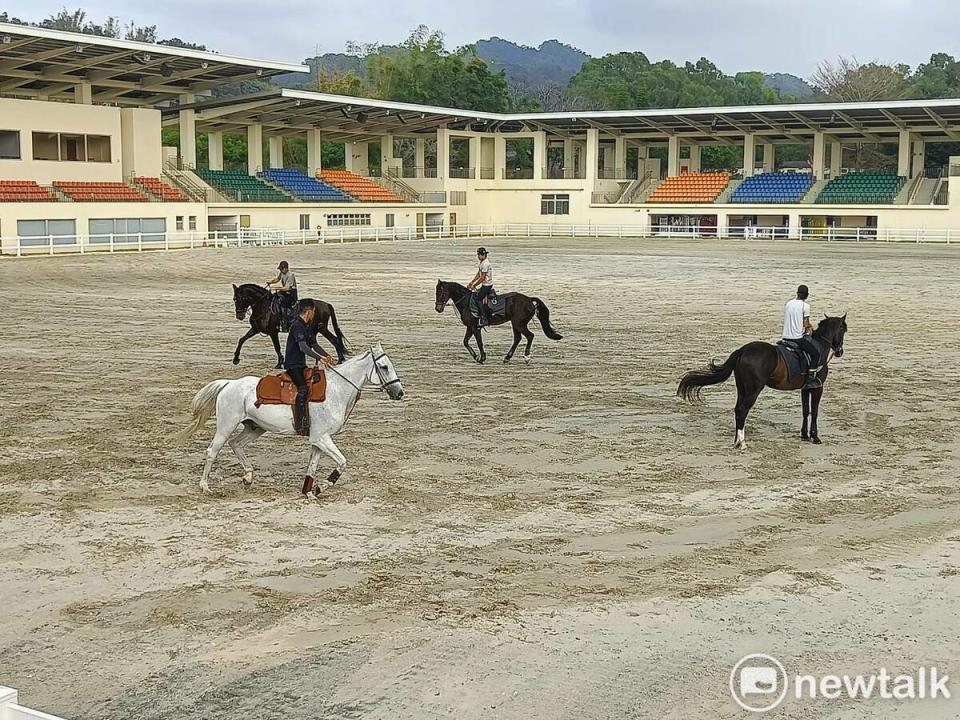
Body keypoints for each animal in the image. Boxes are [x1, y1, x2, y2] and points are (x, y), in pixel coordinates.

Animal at [175, 344, 402, 496]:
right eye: (383, 367)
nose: (399, 393)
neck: (336, 390)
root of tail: (229, 384)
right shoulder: (322, 438)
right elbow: (342, 462)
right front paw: (321, 487)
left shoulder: (318, 440)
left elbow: (312, 467)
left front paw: (310, 491)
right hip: (225, 426)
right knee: (212, 451)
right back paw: (205, 487)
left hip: (254, 428)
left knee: (236, 444)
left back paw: (248, 476)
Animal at [436, 278, 564, 362]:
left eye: (441, 293)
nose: (438, 309)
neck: (466, 302)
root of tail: (529, 299)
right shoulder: (470, 327)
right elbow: (465, 342)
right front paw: (476, 356)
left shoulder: (475, 327)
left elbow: (479, 342)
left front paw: (482, 358)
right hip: (515, 324)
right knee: (518, 338)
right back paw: (507, 357)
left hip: (519, 324)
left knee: (530, 336)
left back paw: (526, 357)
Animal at [676, 314, 848, 448]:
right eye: (843, 329)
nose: (839, 351)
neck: (819, 347)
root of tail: (742, 350)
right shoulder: (818, 387)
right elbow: (815, 411)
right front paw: (815, 437)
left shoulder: (805, 388)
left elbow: (806, 410)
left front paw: (805, 436)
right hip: (754, 390)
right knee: (742, 410)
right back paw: (742, 444)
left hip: (742, 388)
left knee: (737, 410)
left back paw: (736, 441)